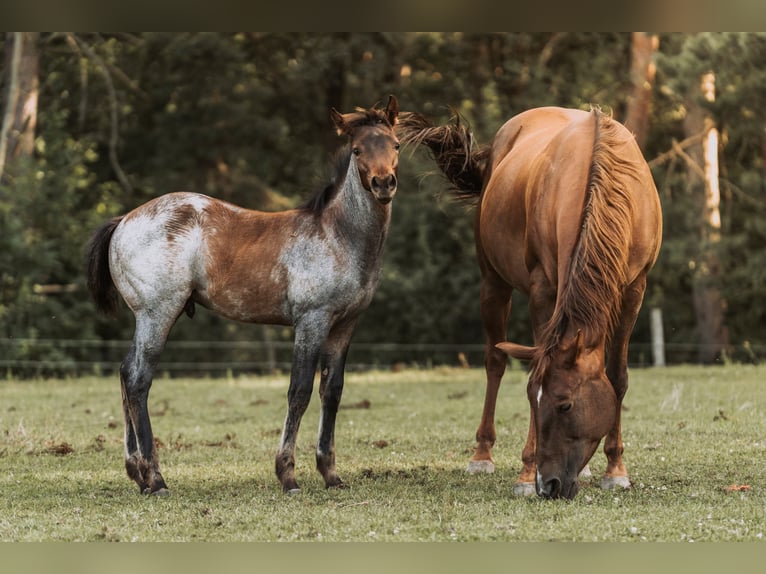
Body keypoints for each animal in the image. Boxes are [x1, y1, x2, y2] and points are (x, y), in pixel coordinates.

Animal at [404, 107, 664, 500]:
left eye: (565, 403)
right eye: (540, 401)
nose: (549, 484)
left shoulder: (635, 288)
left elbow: (617, 377)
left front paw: (615, 468)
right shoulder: (544, 288)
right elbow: (531, 373)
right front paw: (526, 474)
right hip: (493, 284)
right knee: (495, 362)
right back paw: (482, 455)